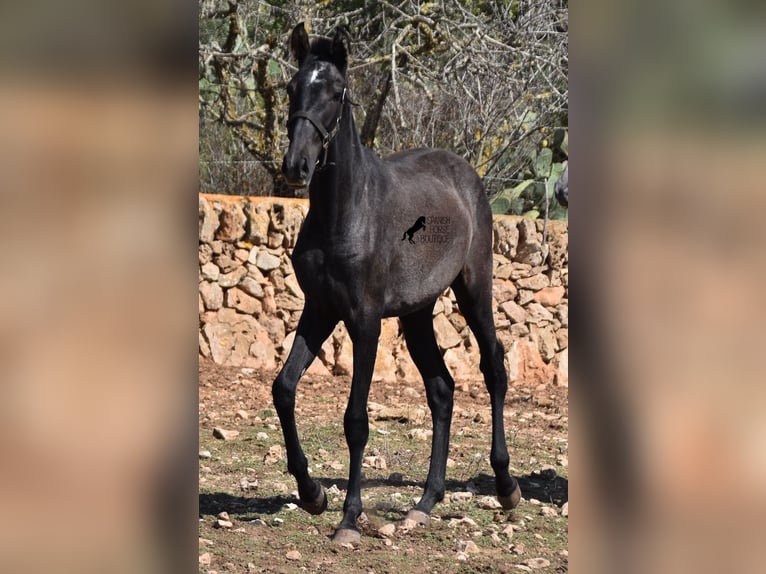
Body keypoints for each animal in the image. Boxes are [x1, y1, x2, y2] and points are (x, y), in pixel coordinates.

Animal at [273, 23, 521, 544]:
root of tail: (464, 173)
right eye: (291, 87)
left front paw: (349, 519)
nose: (297, 166)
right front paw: (312, 494)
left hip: (474, 288)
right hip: (417, 312)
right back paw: (424, 503)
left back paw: (507, 486)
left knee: (493, 368)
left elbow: (355, 419)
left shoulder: (365, 322)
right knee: (442, 389)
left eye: (336, 91)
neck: (344, 213)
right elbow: (283, 388)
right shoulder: (320, 309)